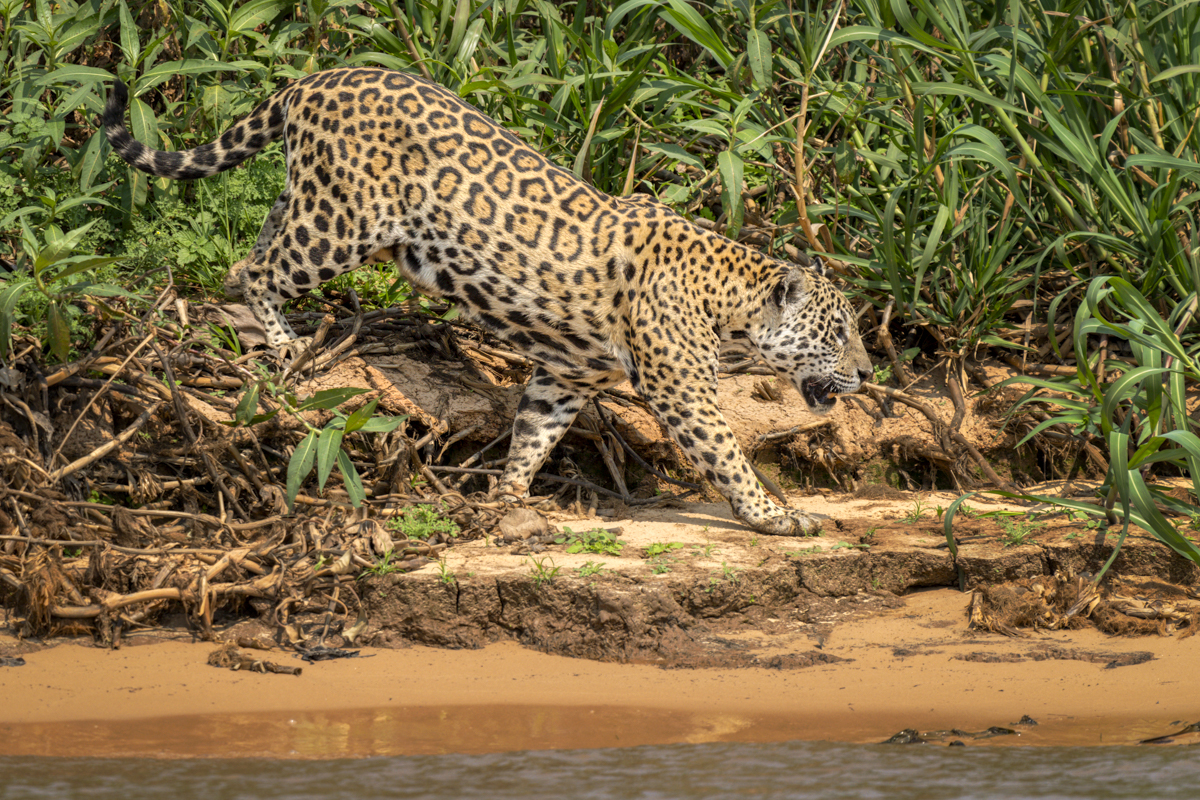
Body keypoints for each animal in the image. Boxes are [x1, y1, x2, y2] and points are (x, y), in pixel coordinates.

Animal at [104, 66, 872, 536]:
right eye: (837, 334)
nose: (868, 374)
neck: (730, 303)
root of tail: (315, 77)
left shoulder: (566, 373)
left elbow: (534, 432)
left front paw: (508, 498)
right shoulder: (681, 389)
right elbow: (726, 454)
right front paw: (776, 517)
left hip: (309, 200)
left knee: (255, 245)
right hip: (341, 225)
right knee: (257, 267)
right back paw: (285, 341)